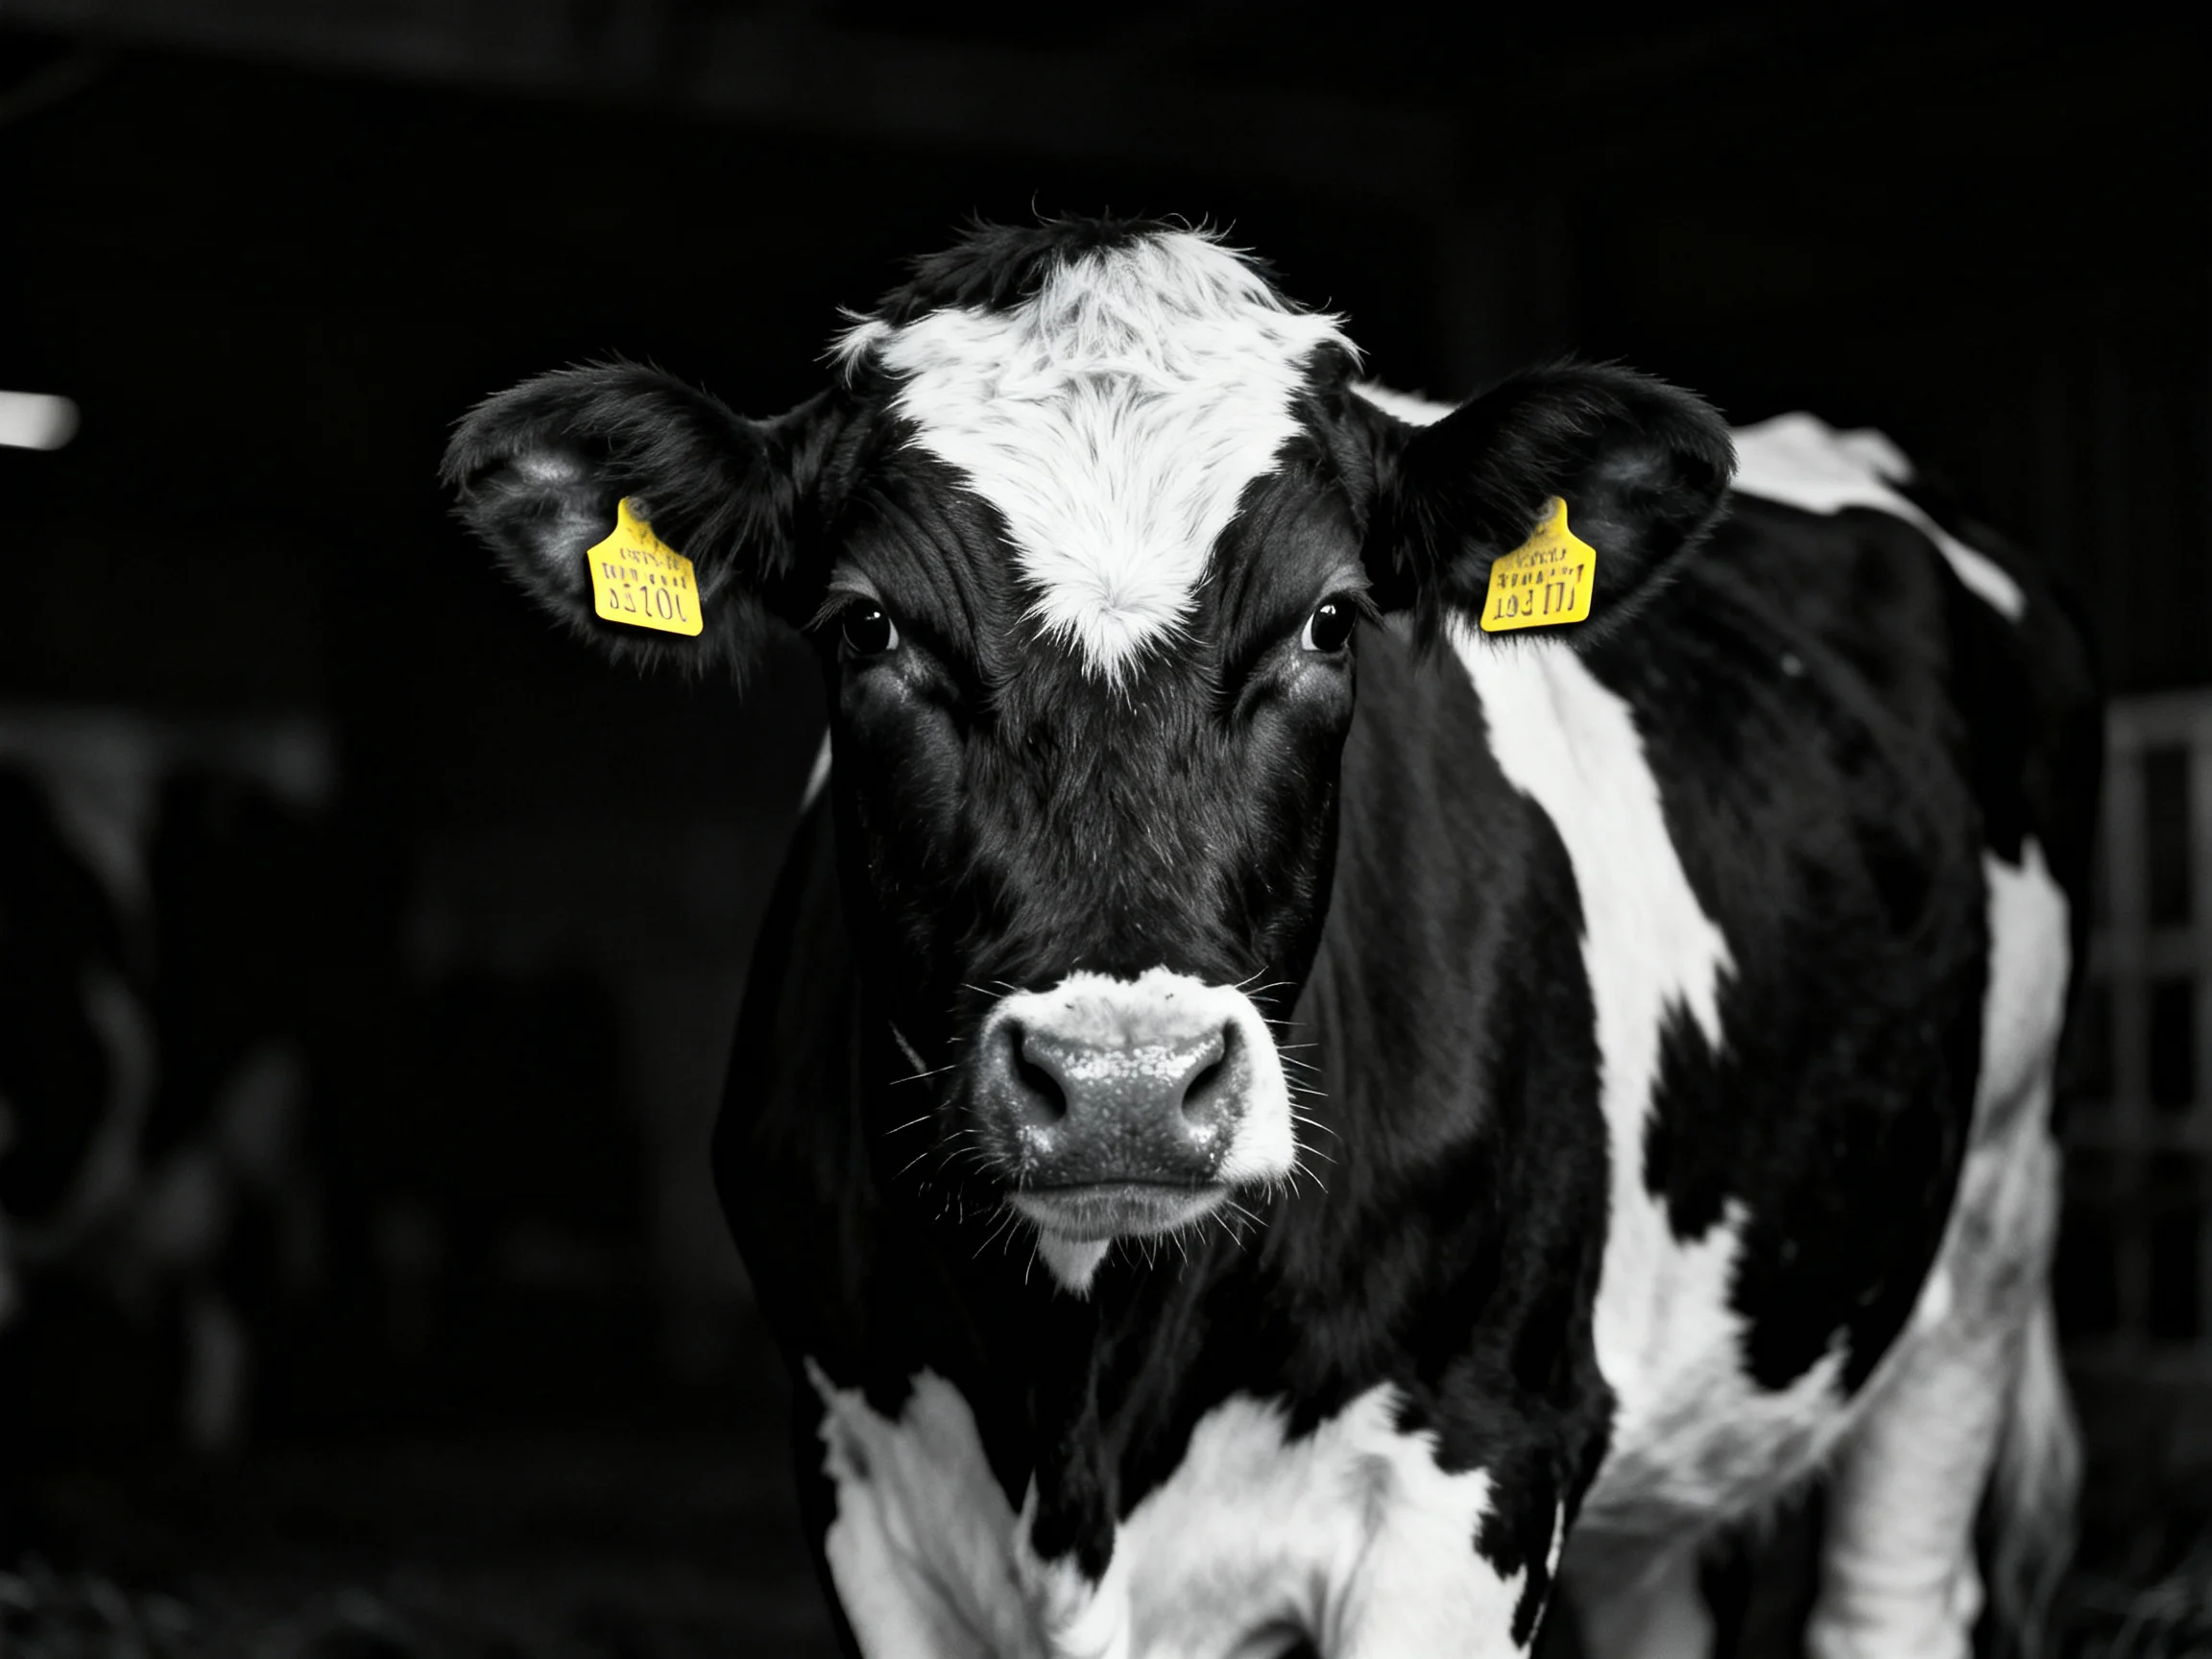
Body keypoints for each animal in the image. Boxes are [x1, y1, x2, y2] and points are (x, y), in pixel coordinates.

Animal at [443, 217, 2098, 1659]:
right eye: (868, 626)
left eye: (1330, 620)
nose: (1122, 1082)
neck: (1081, 1401)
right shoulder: (859, 1468)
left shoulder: (1480, 1461)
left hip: (1980, 1245)